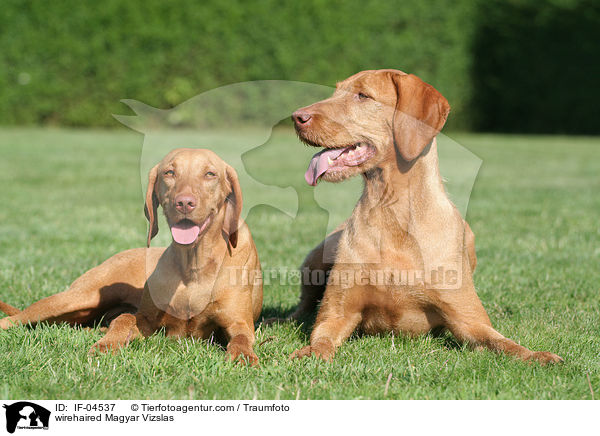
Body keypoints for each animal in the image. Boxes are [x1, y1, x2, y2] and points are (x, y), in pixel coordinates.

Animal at [0, 150, 262, 364]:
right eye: (169, 172)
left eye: (210, 174)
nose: (185, 203)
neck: (194, 263)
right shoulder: (146, 319)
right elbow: (125, 319)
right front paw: (108, 344)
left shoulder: (239, 323)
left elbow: (241, 339)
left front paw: (243, 357)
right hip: (76, 299)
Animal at [286, 68, 564, 364]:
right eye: (336, 91)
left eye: (362, 95)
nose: (297, 117)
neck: (392, 211)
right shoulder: (337, 313)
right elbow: (322, 339)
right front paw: (310, 353)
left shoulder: (469, 321)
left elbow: (505, 343)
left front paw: (538, 355)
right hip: (315, 259)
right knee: (302, 306)